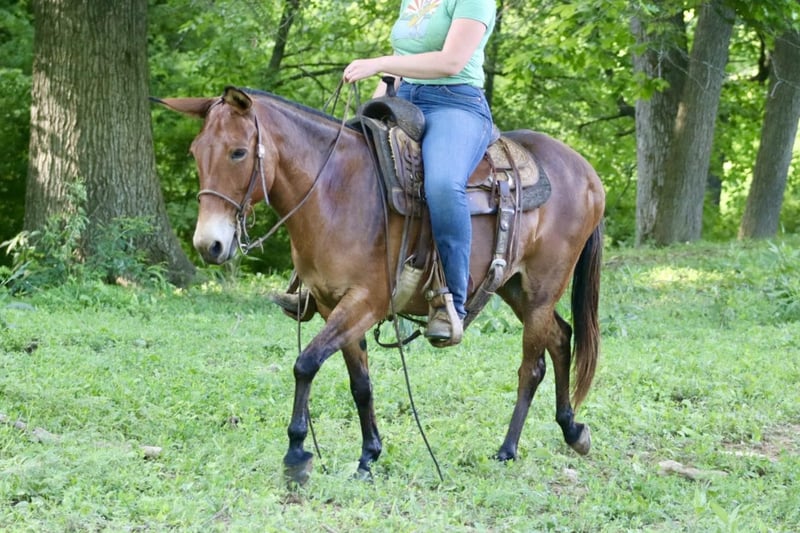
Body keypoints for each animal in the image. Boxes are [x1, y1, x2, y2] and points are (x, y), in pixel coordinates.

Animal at [155, 85, 605, 485]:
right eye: (196, 153)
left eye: (238, 152)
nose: (209, 245)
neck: (335, 191)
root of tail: (587, 172)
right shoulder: (331, 304)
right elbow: (360, 384)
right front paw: (368, 457)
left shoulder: (365, 302)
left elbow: (306, 363)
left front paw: (297, 453)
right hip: (514, 287)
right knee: (561, 337)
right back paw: (572, 430)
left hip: (541, 289)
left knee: (531, 367)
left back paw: (508, 449)